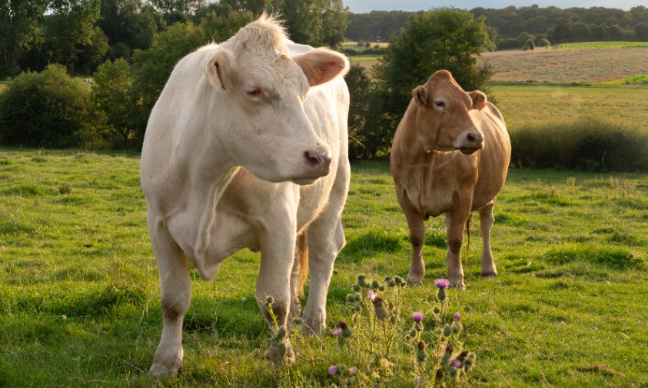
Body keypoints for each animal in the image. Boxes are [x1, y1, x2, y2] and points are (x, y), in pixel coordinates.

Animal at [140, 14, 350, 376]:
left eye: (304, 92)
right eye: (254, 90)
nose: (321, 156)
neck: (208, 180)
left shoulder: (277, 223)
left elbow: (274, 301)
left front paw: (282, 355)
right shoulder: (160, 224)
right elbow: (173, 300)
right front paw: (166, 361)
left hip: (334, 192)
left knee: (324, 254)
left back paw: (312, 323)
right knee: (295, 268)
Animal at [390, 69, 512, 290]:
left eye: (468, 104)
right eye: (439, 103)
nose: (476, 137)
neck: (427, 161)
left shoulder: (463, 195)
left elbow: (456, 239)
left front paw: (456, 279)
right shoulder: (403, 194)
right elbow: (417, 237)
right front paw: (414, 276)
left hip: (489, 196)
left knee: (486, 226)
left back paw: (488, 267)